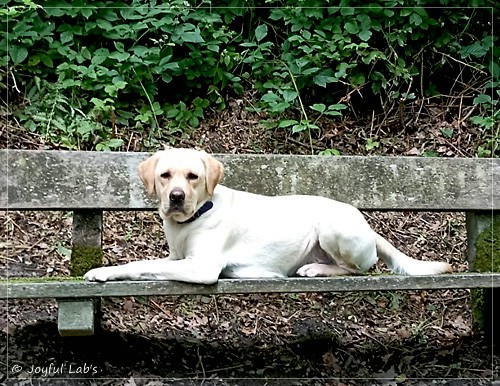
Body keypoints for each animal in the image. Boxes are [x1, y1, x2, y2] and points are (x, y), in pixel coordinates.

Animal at [84, 148, 452, 284]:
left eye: (192, 177)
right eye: (165, 176)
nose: (176, 197)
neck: (196, 215)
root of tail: (365, 223)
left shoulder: (201, 266)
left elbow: (143, 264)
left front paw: (103, 272)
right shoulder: (177, 257)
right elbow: (151, 262)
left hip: (331, 228)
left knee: (360, 268)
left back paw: (317, 269)